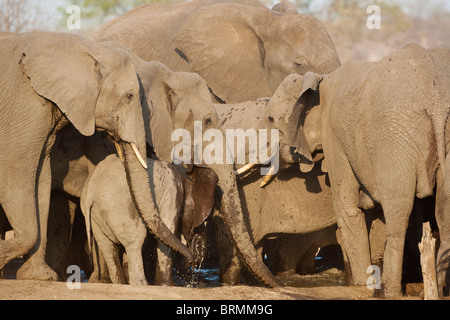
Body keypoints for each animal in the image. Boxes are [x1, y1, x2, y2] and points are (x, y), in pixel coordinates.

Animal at [0, 30, 192, 280]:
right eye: (129, 96)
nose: (191, 262)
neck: (87, 48)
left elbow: (41, 181)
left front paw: (39, 277)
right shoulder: (27, 108)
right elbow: (16, 176)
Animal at [81, 155, 218, 284]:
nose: (193, 262)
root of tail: (90, 193)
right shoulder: (173, 191)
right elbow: (168, 228)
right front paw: (167, 285)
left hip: (95, 215)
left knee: (107, 246)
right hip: (118, 207)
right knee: (135, 240)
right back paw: (142, 284)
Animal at [264, 43, 450, 296]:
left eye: (271, 119)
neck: (318, 81)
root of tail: (435, 99)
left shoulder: (334, 137)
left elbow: (347, 208)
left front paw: (362, 286)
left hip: (393, 137)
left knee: (398, 213)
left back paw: (392, 292)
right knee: (444, 213)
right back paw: (434, 289)